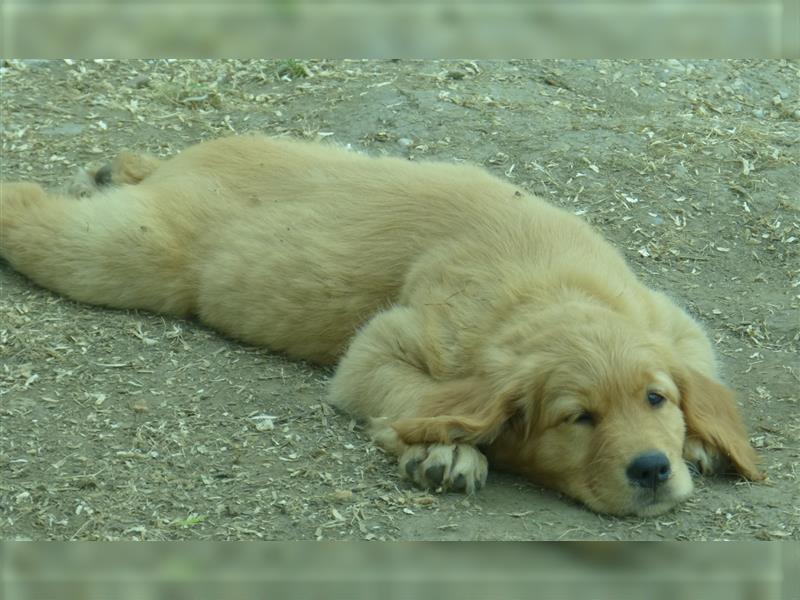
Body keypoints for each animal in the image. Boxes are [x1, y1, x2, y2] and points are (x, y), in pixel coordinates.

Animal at [0, 135, 764, 516]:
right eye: (578, 418)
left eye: (656, 399)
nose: (652, 469)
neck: (548, 285)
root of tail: (175, 162)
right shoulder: (381, 347)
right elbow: (415, 394)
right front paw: (446, 450)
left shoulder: (669, 317)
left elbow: (702, 364)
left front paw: (702, 439)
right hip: (125, 253)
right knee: (34, 210)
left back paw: (105, 171)